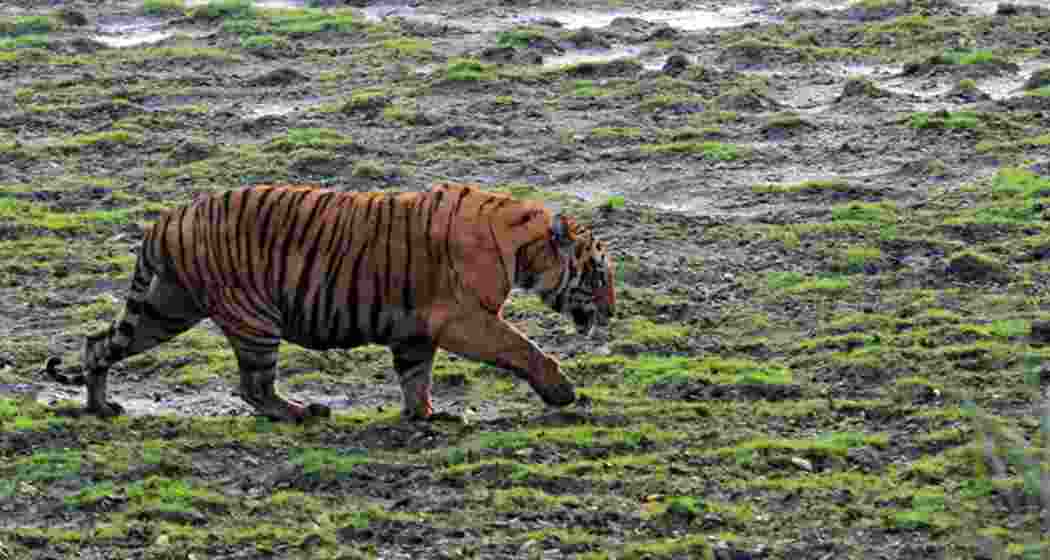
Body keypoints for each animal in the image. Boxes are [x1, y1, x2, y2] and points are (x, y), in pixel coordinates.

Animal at [43, 183, 616, 422]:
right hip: (252, 317)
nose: (612, 311)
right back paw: (301, 412)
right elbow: (524, 348)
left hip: (164, 307)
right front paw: (562, 391)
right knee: (254, 386)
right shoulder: (462, 318)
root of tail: (166, 218)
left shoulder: (417, 329)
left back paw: (99, 406)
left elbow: (416, 376)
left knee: (98, 343)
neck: (523, 246)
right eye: (598, 272)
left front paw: (426, 415)